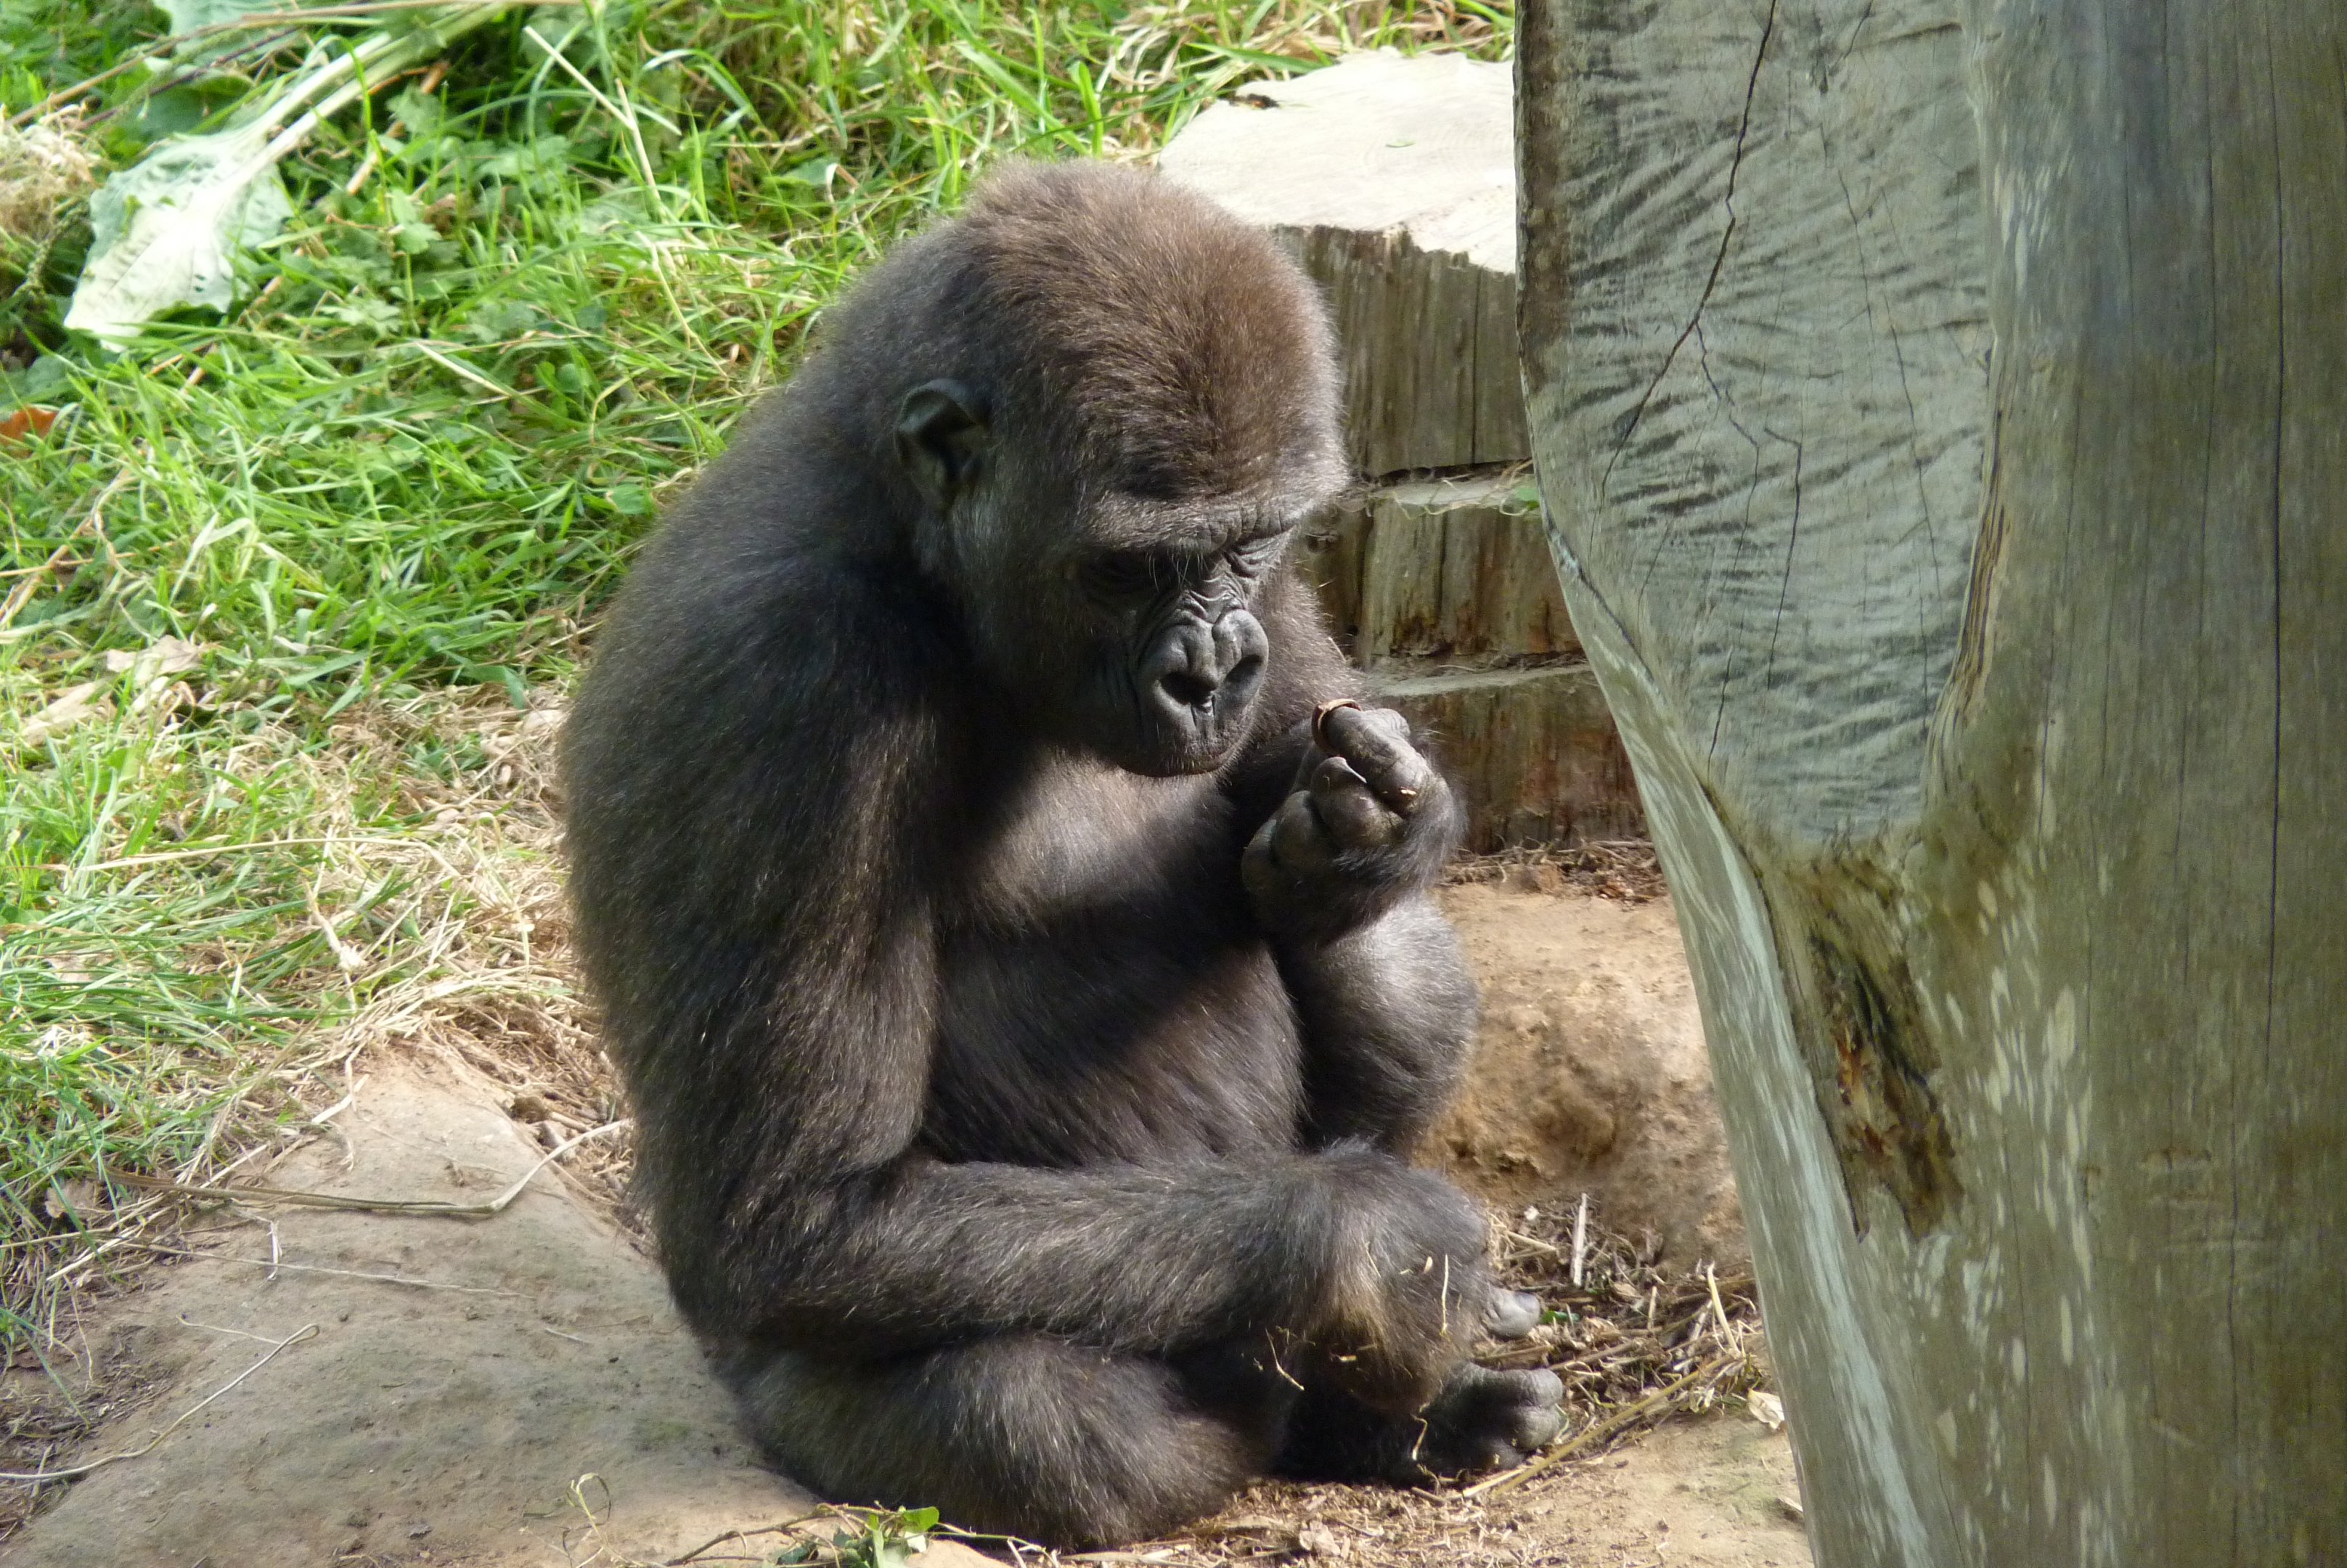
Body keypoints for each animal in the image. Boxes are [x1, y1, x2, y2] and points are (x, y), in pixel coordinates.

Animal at [559, 160, 1564, 1549]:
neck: (907, 539)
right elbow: (800, 1219)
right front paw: (1374, 1247)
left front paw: (1363, 841)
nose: (1210, 673)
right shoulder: (790, 686)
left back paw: (1379, 1417)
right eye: (1127, 570)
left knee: (1399, 977)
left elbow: (1327, 826)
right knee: (1033, 1414)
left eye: (1247, 547)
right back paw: (1303, 1410)